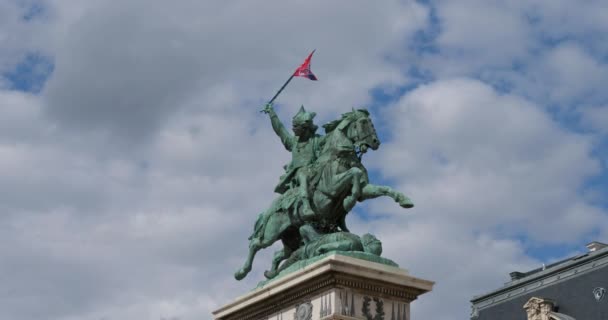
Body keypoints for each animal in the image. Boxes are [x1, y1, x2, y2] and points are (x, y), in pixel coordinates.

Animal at [234, 109, 414, 280]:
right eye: (363, 122)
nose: (376, 143)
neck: (340, 157)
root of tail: (270, 210)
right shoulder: (332, 186)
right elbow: (353, 174)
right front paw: (348, 201)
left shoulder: (365, 189)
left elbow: (383, 189)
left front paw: (404, 200)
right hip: (271, 233)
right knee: (255, 244)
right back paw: (241, 272)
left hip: (290, 238)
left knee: (279, 254)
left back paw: (272, 274)